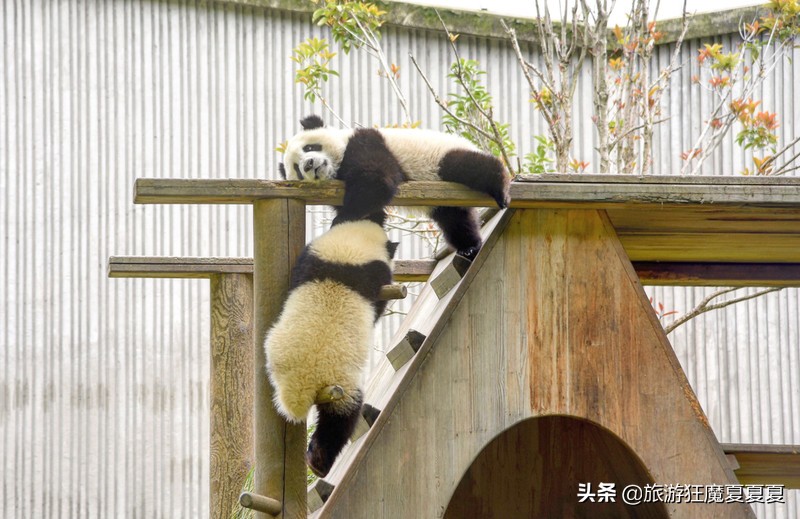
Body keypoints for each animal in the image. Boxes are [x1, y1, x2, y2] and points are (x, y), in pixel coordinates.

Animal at [266, 212, 396, 480]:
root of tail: (302, 382)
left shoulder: (310, 259)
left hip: (275, 353)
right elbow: (379, 302)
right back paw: (319, 461)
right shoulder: (372, 272)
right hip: (341, 383)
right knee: (342, 416)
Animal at [278, 114, 510, 260]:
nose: (309, 164)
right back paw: (469, 247)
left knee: (470, 166)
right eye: (297, 169)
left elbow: (377, 181)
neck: (336, 170)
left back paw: (501, 188)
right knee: (456, 221)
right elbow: (373, 213)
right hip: (444, 202)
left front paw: (341, 220)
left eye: (310, 147)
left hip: (441, 158)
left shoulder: (365, 143)